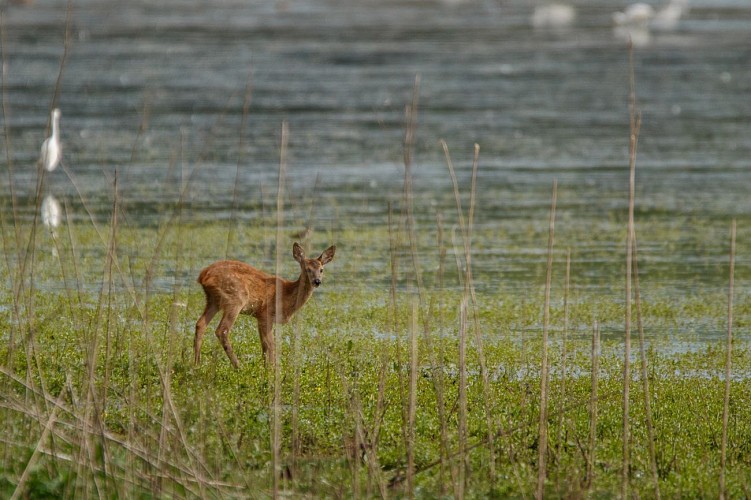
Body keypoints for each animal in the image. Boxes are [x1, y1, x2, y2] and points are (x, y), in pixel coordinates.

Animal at [194, 242, 338, 368]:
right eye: (307, 269)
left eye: (321, 269)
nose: (317, 281)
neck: (286, 295)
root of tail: (203, 276)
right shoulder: (266, 314)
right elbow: (272, 344)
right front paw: (272, 369)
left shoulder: (259, 317)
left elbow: (264, 345)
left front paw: (265, 368)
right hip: (235, 298)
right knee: (222, 330)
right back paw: (238, 366)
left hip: (213, 300)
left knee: (200, 324)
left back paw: (196, 365)